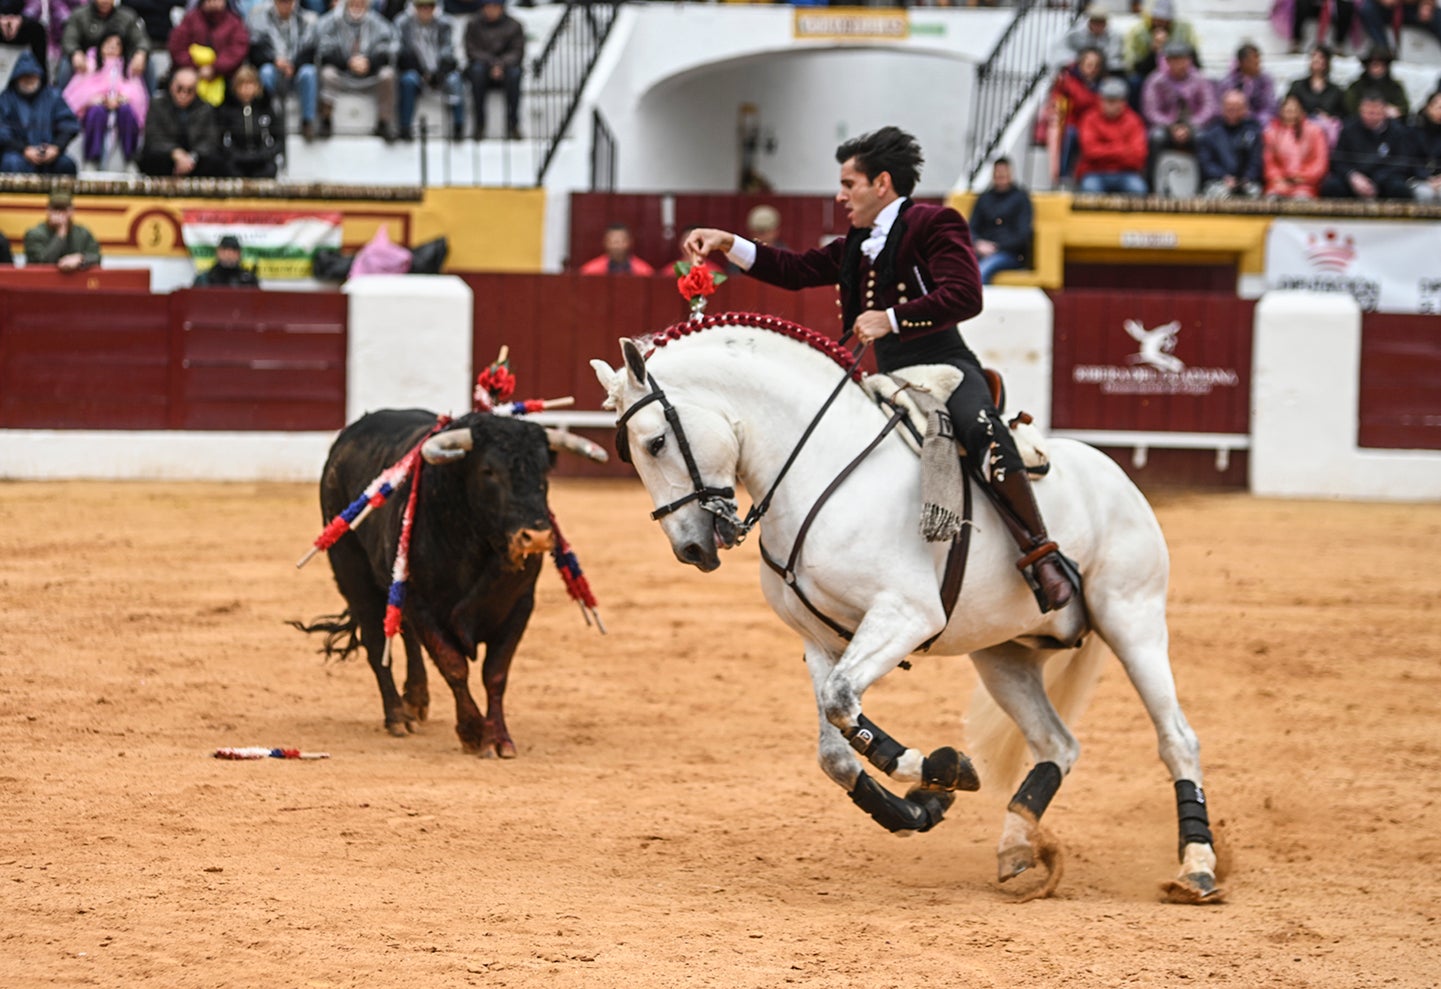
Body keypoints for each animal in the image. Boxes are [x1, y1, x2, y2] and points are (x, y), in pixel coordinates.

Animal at [293, 409, 556, 761]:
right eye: (488, 470)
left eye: (543, 470)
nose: (536, 536)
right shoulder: (421, 602)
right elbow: (453, 665)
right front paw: (473, 733)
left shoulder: (520, 604)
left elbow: (495, 673)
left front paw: (499, 738)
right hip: (353, 572)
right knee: (377, 641)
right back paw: (397, 717)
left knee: (406, 635)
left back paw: (416, 700)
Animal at [590, 317, 1221, 905]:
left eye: (654, 442)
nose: (691, 549)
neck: (820, 468)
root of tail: (1114, 472)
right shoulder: (819, 640)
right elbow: (835, 748)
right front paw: (925, 800)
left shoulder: (906, 615)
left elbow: (842, 701)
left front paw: (940, 769)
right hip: (1003, 655)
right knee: (1056, 744)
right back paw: (1018, 846)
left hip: (1133, 621)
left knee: (1177, 739)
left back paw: (1197, 867)